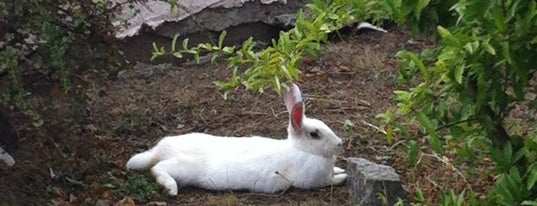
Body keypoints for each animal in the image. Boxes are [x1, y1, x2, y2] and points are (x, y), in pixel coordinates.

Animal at [125, 83, 346, 196]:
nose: (340, 143)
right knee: (157, 168)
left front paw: (340, 170)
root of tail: (161, 149)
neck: (302, 150)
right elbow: (330, 181)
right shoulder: (313, 181)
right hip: (183, 168)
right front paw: (342, 177)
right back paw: (170, 188)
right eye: (315, 134)